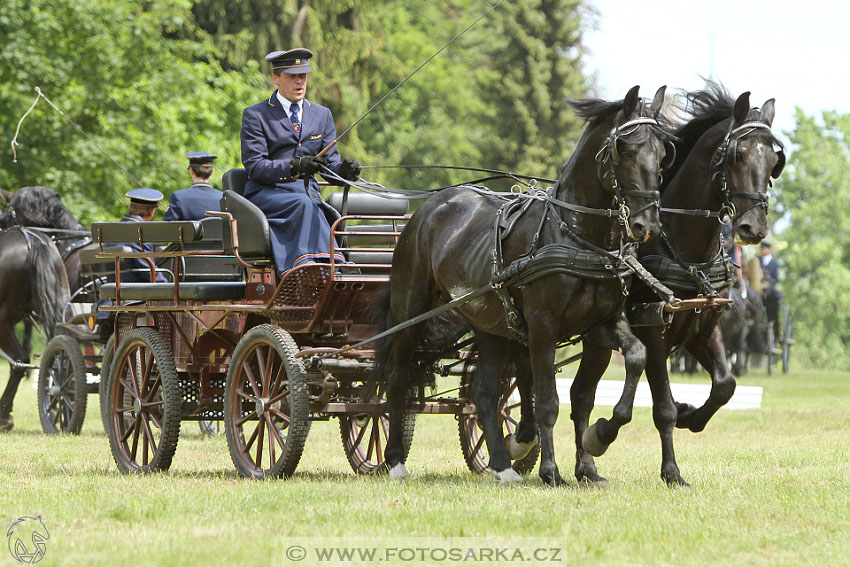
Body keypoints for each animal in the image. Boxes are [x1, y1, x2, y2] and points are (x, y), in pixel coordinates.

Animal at [376, 86, 668, 486]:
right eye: (623, 148)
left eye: (663, 153)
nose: (646, 225)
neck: (576, 235)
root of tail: (429, 206)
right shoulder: (544, 327)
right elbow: (546, 401)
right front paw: (551, 471)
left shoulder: (600, 323)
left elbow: (636, 355)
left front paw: (599, 435)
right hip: (411, 312)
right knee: (397, 377)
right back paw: (395, 460)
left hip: (490, 325)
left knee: (484, 394)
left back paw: (502, 465)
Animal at [568, 81, 780, 488]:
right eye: (738, 154)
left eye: (774, 160)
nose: (753, 227)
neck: (686, 251)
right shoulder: (654, 332)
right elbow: (662, 407)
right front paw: (671, 471)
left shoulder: (705, 329)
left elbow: (725, 385)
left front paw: (690, 415)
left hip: (598, 340)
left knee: (580, 394)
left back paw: (586, 467)